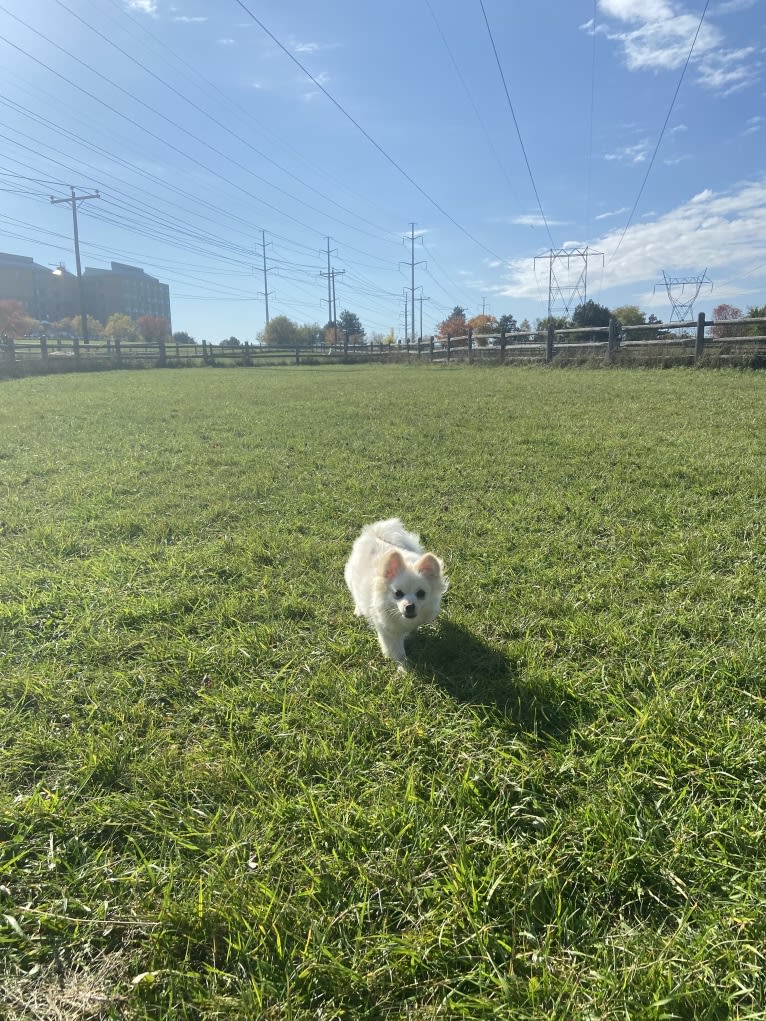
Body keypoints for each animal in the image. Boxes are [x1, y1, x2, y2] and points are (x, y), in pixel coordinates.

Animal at [343, 518, 447, 661]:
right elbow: (398, 653)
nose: (409, 606)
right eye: (398, 593)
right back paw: (359, 610)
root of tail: (375, 533)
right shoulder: (389, 633)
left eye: (421, 594)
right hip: (351, 580)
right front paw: (403, 666)